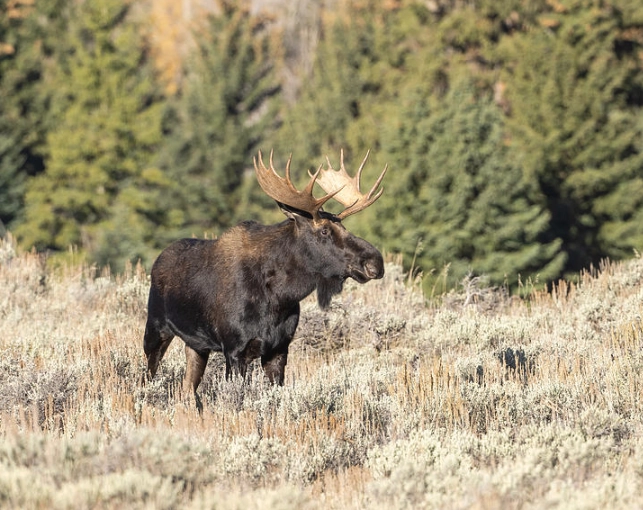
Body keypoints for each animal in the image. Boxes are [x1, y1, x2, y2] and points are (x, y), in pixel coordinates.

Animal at [143, 150, 387, 404]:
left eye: (344, 227)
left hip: (197, 345)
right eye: (324, 230)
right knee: (147, 375)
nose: (375, 262)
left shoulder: (279, 348)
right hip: (155, 328)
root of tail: (158, 260)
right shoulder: (235, 349)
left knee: (187, 388)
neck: (280, 297)